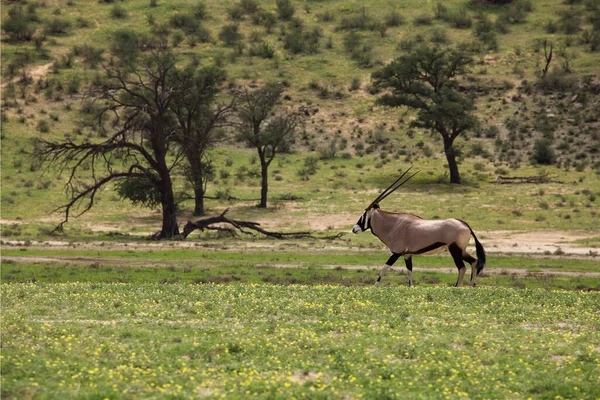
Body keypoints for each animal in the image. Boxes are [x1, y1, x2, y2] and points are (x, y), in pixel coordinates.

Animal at [354, 168, 486, 288]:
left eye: (363, 215)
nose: (354, 229)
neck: (393, 224)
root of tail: (465, 225)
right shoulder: (407, 255)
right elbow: (410, 272)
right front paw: (411, 288)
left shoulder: (396, 252)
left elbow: (384, 268)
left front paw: (374, 288)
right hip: (461, 250)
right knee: (474, 261)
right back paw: (472, 285)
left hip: (454, 249)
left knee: (462, 268)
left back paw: (456, 287)